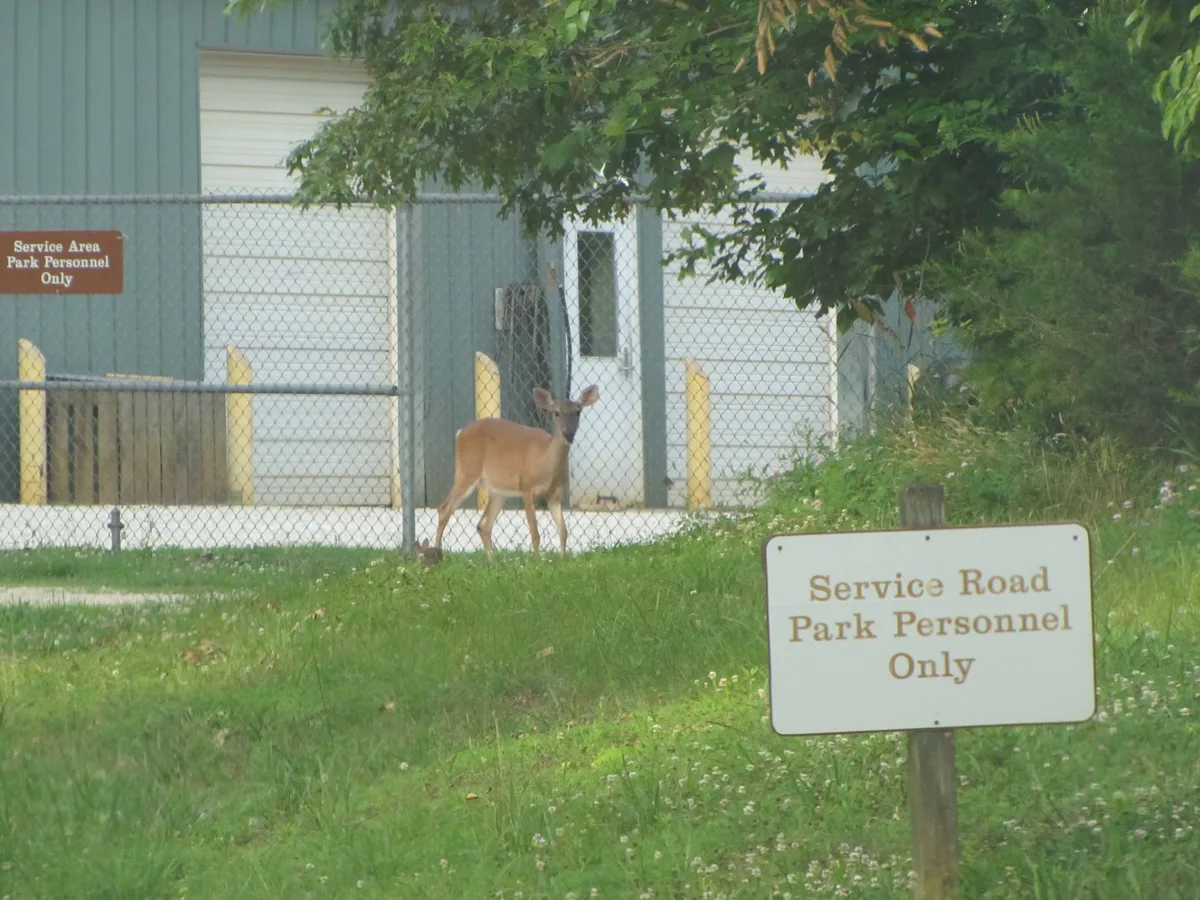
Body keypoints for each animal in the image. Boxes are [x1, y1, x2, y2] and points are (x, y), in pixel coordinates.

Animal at [433, 385, 600, 561]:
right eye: (556, 412)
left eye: (577, 412)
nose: (568, 434)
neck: (546, 462)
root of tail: (460, 433)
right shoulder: (526, 487)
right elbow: (535, 533)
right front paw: (537, 561)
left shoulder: (554, 495)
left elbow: (563, 531)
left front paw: (562, 559)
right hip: (467, 471)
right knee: (444, 509)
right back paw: (437, 554)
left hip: (497, 490)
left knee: (483, 525)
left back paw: (492, 562)